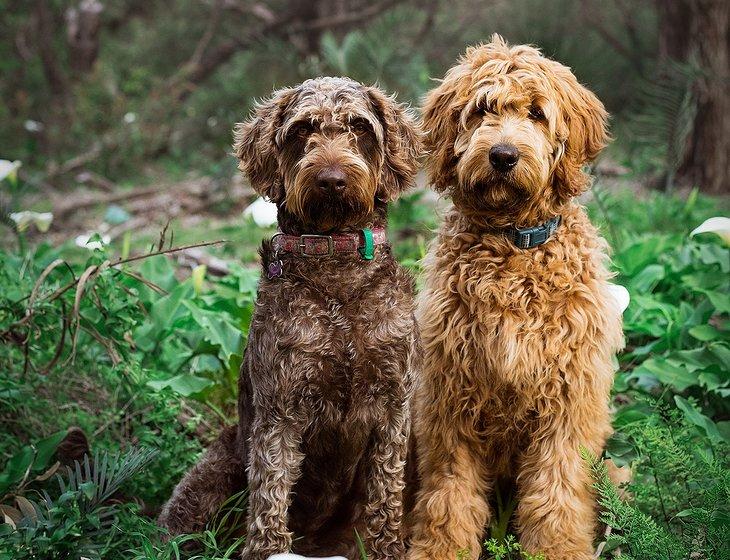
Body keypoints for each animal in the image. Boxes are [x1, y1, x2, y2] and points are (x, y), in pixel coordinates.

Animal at [159, 77, 420, 560]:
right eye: (301, 130)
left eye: (360, 126)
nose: (332, 179)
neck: (336, 266)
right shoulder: (280, 408)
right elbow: (270, 490)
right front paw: (268, 549)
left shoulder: (394, 406)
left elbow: (385, 495)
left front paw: (388, 548)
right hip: (214, 470)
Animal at [406, 36, 624, 560]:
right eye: (482, 109)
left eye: (537, 114)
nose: (503, 155)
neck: (512, 245)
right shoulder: (449, 396)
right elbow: (449, 491)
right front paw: (441, 549)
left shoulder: (569, 401)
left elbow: (557, 489)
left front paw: (558, 549)